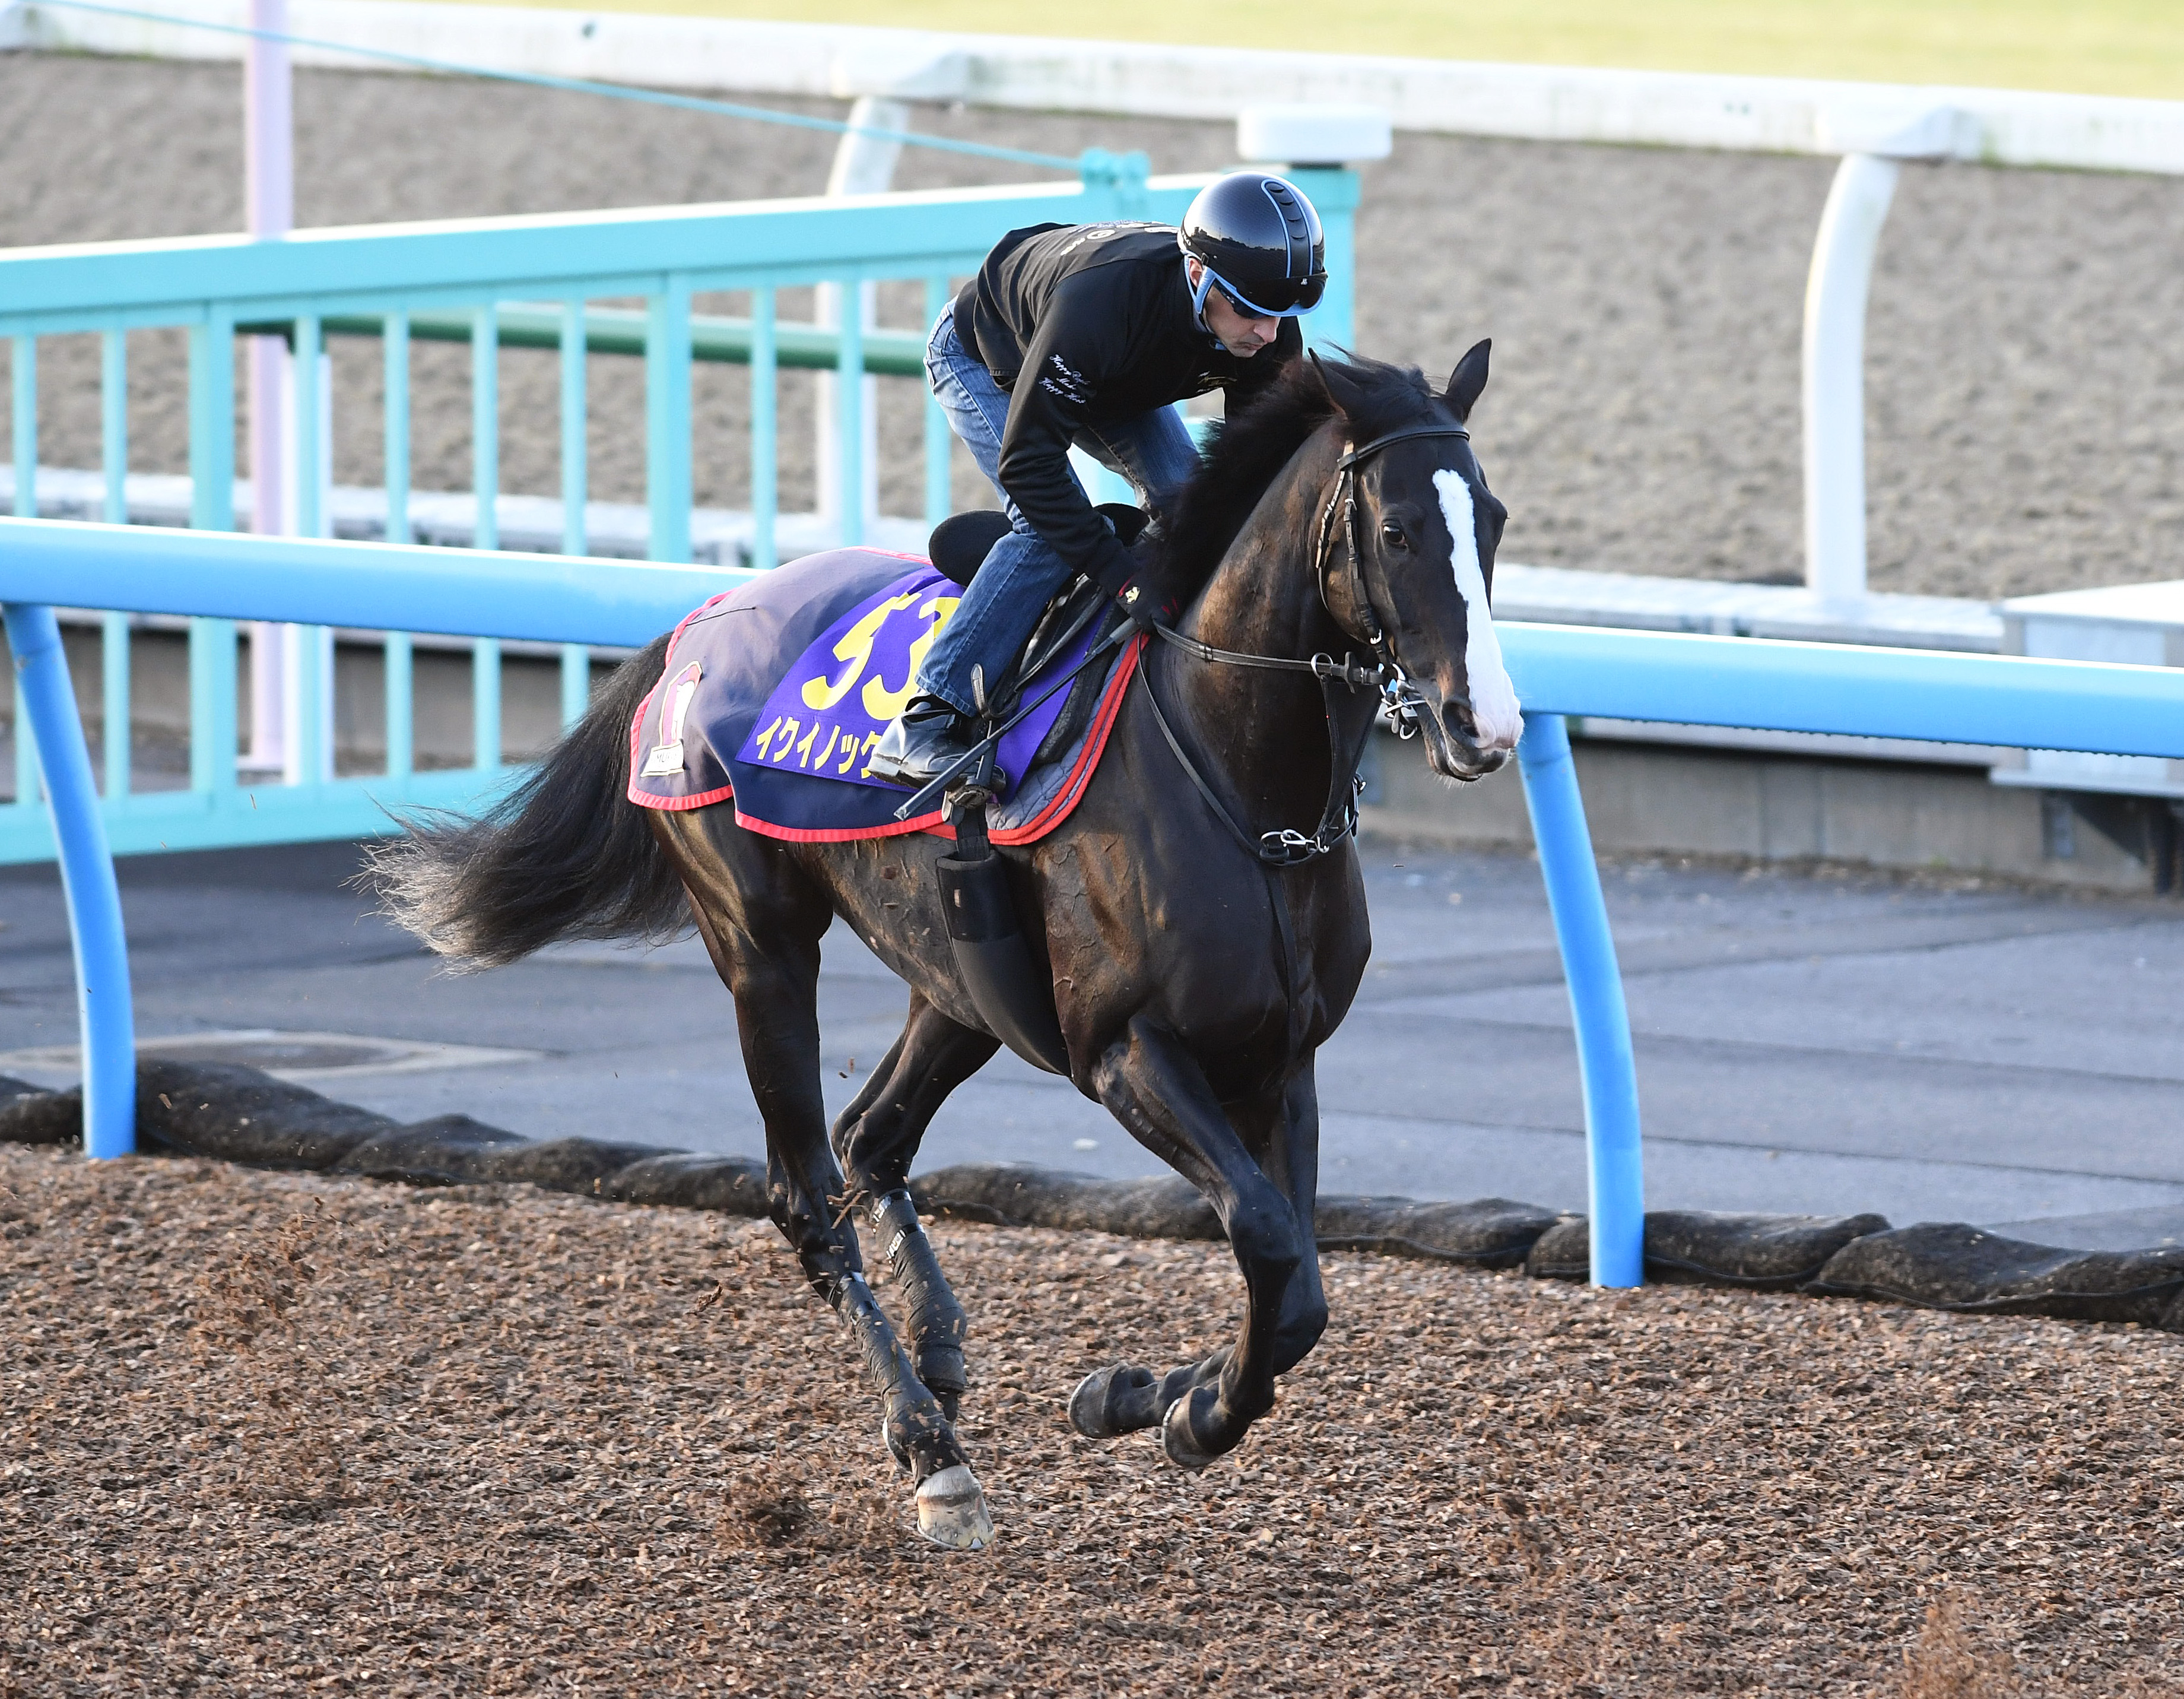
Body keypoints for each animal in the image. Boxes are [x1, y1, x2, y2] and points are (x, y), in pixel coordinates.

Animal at [371, 345, 1520, 1546]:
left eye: (1491, 519)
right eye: (1396, 530)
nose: (1481, 726)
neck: (1239, 790)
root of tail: (703, 620)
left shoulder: (1280, 1059)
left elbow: (1296, 1291)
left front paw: (1147, 1395)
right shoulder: (1124, 1049)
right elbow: (1265, 1234)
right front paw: (1184, 1408)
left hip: (962, 986)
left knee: (872, 1138)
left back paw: (938, 1359)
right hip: (760, 940)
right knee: (806, 1191)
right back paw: (931, 1448)